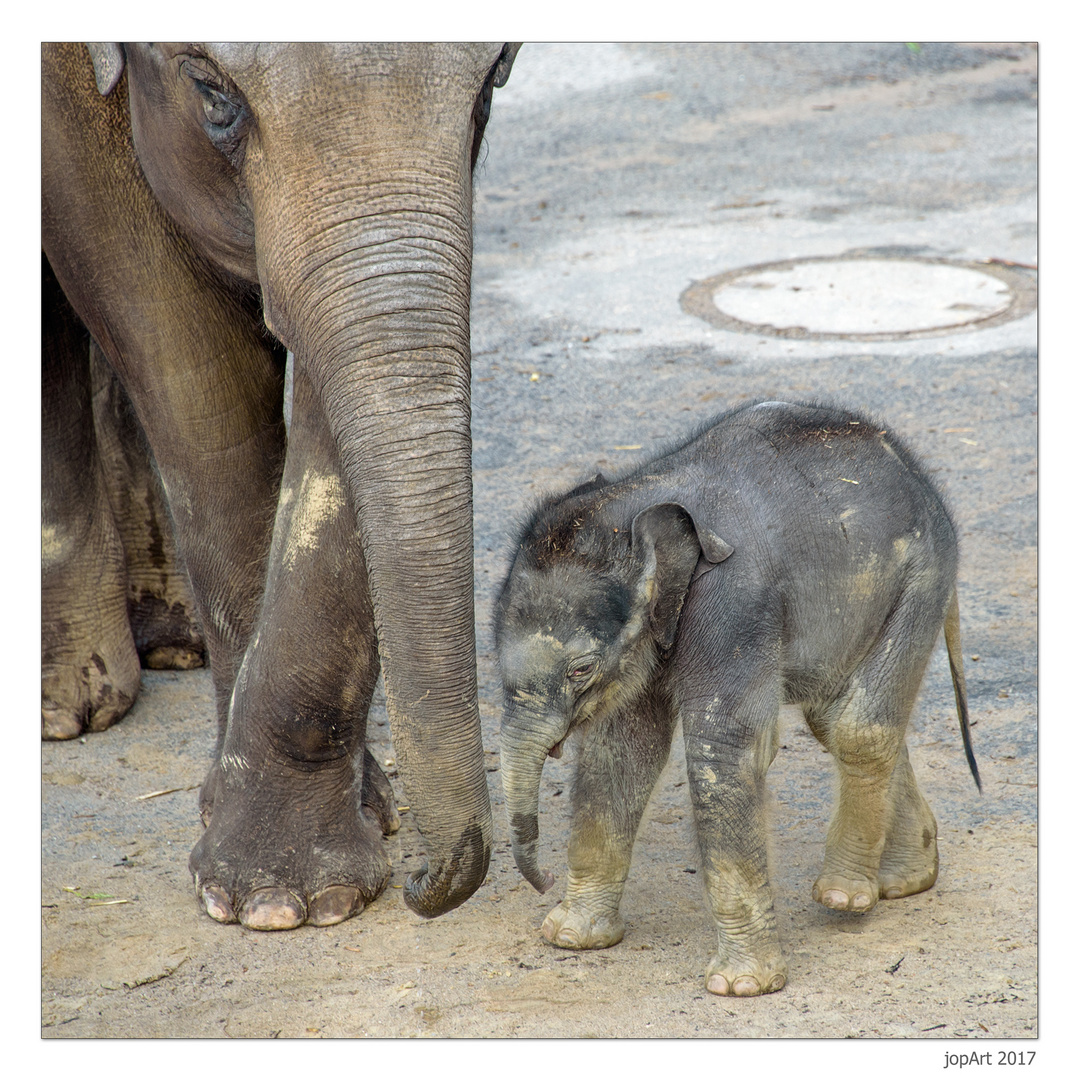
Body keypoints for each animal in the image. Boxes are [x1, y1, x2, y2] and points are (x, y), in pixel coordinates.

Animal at [44, 44, 524, 928]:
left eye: (496, 75)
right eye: (213, 92)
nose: (424, 882)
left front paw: (301, 880)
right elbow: (179, 345)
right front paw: (262, 895)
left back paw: (169, 639)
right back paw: (69, 702)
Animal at [496, 401, 980, 997]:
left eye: (580, 669)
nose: (541, 881)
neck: (639, 502)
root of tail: (914, 469)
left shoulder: (733, 601)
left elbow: (723, 748)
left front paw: (741, 986)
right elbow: (621, 748)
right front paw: (569, 937)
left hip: (922, 578)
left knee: (856, 728)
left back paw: (844, 894)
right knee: (835, 716)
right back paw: (905, 879)